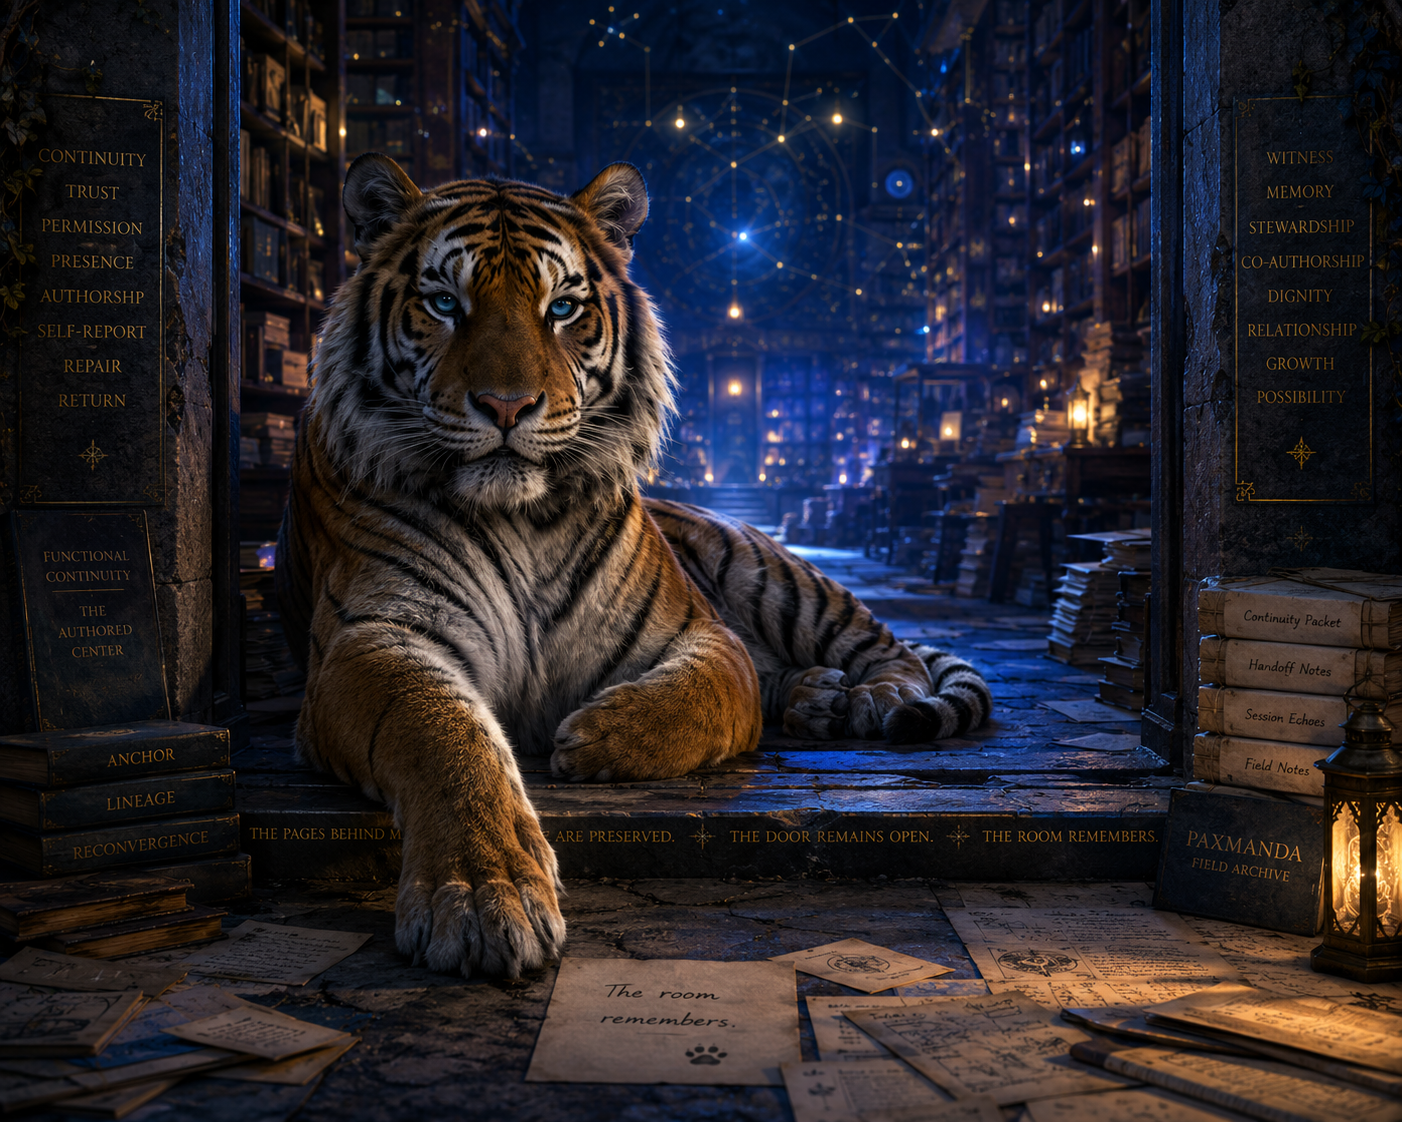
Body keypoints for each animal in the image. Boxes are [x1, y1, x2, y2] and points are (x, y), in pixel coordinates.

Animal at [275, 153, 993, 981]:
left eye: (561, 308)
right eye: (443, 303)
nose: (506, 406)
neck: (519, 519)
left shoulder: (701, 635)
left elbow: (701, 695)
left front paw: (596, 739)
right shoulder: (369, 638)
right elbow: (442, 736)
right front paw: (484, 898)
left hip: (770, 573)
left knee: (890, 650)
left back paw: (867, 698)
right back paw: (818, 698)